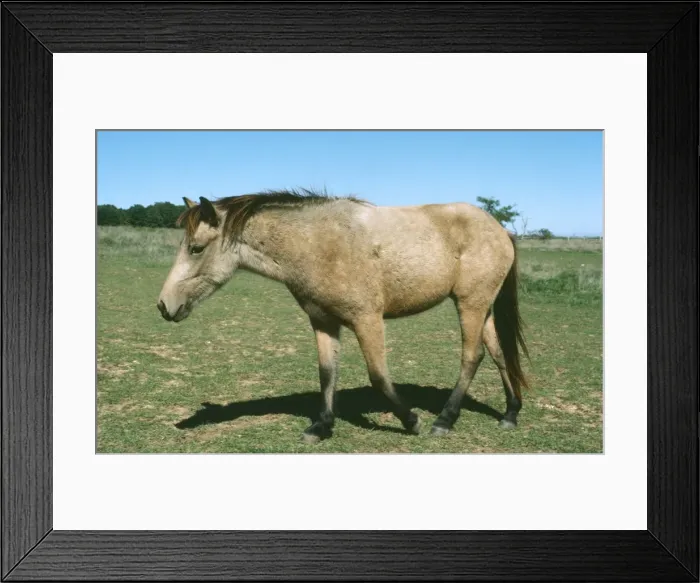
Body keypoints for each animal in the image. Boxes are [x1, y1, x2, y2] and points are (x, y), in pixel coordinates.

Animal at [157, 189, 529, 443]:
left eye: (196, 249)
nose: (163, 305)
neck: (318, 244)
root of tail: (500, 230)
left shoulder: (368, 320)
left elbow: (378, 375)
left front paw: (411, 420)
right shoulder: (323, 321)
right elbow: (327, 372)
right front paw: (321, 426)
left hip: (470, 304)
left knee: (472, 356)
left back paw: (444, 420)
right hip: (481, 308)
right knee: (498, 354)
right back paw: (510, 413)